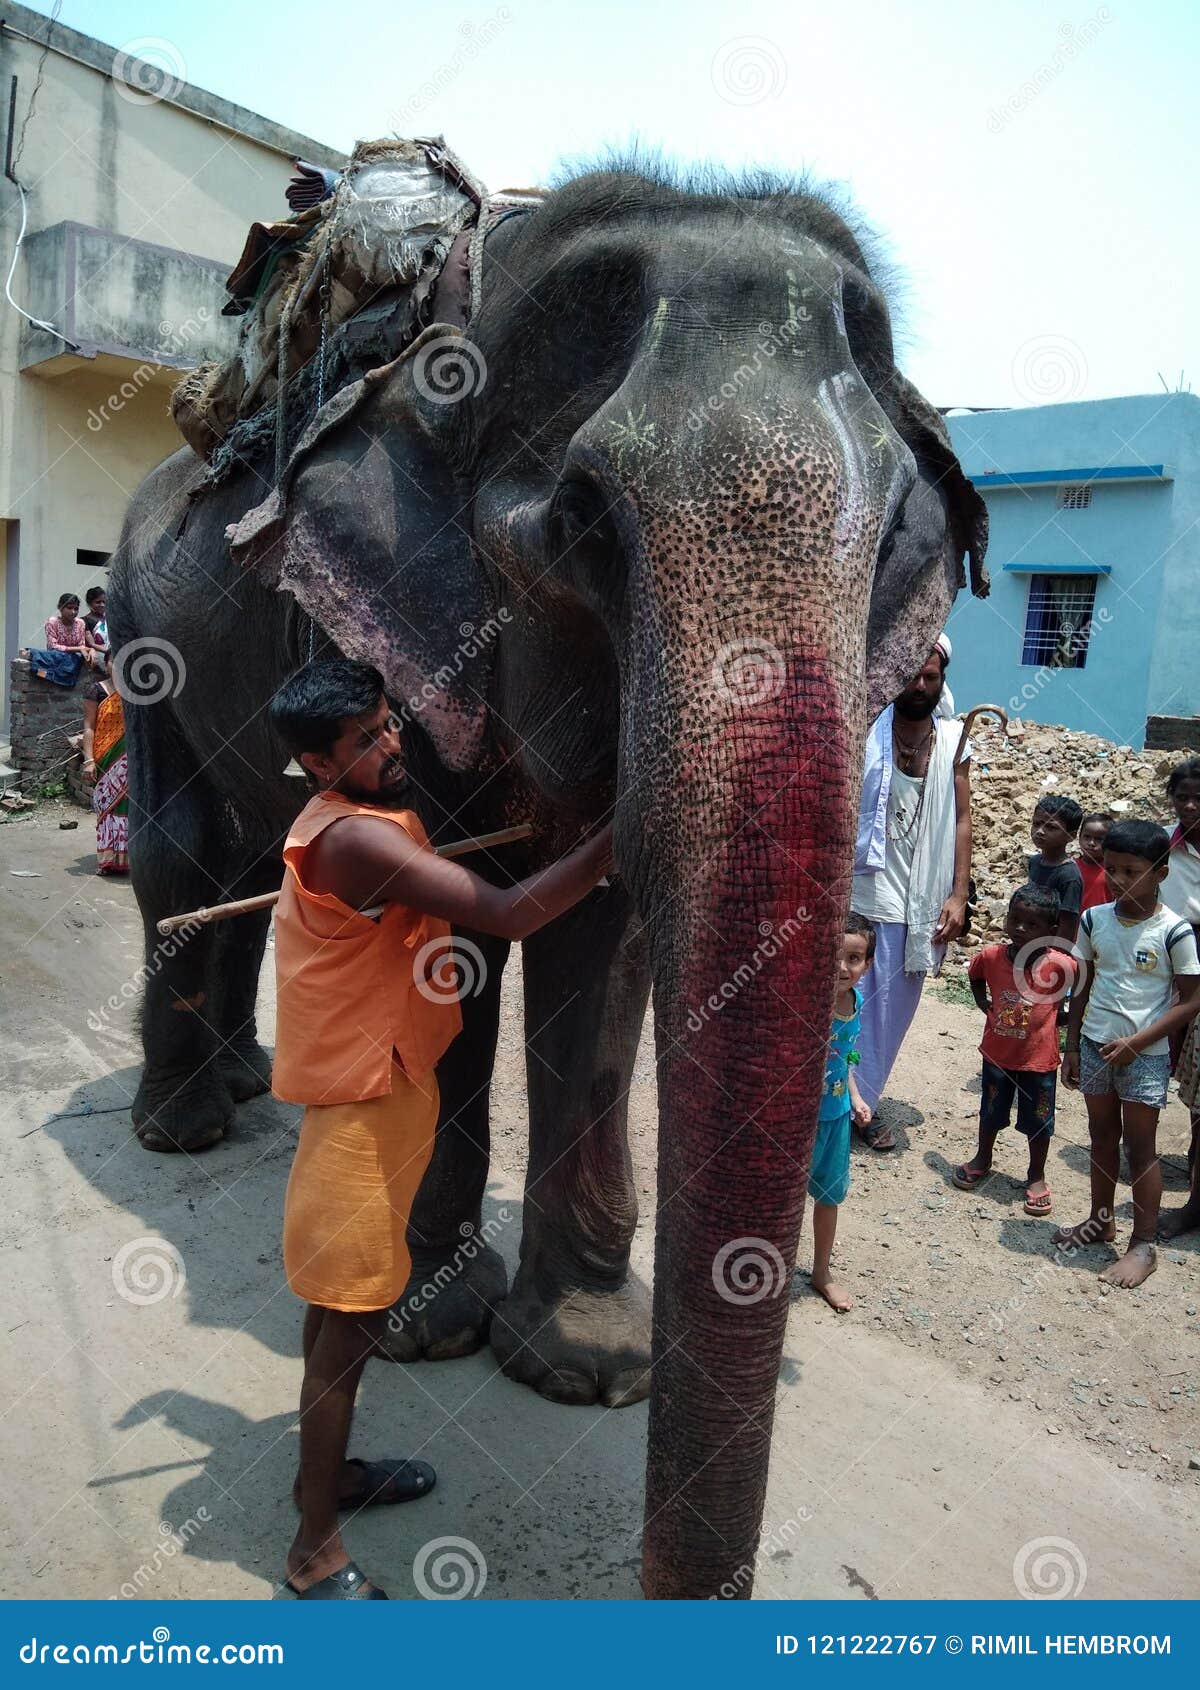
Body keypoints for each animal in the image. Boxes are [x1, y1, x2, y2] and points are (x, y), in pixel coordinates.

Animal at [107, 159, 988, 1600]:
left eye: (897, 547)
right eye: (581, 520)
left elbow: (602, 951)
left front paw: (585, 1367)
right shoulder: (397, 641)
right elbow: (451, 943)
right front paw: (422, 1327)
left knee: (241, 850)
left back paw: (243, 1086)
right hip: (139, 628)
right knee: (185, 844)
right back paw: (181, 1128)